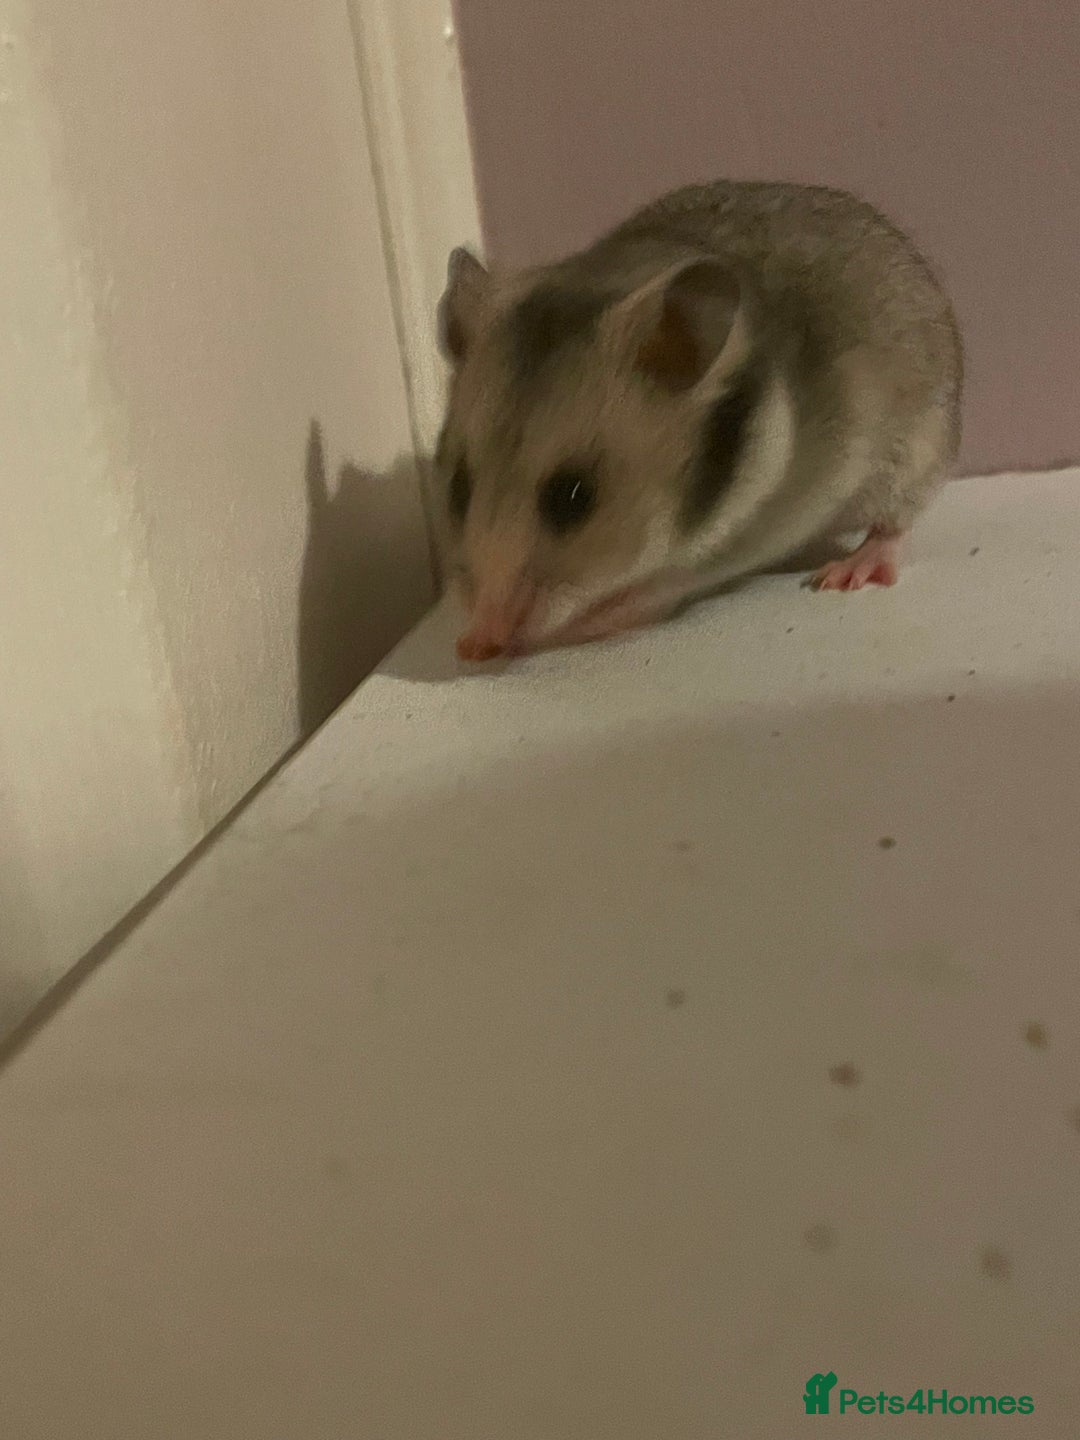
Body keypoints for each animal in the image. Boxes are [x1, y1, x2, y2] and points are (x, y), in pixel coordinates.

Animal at [434, 180, 962, 661]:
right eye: (457, 488)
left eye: (574, 497)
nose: (492, 632)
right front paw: (470, 643)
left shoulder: (737, 544)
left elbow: (651, 590)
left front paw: (569, 628)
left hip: (918, 448)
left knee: (895, 523)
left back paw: (846, 573)